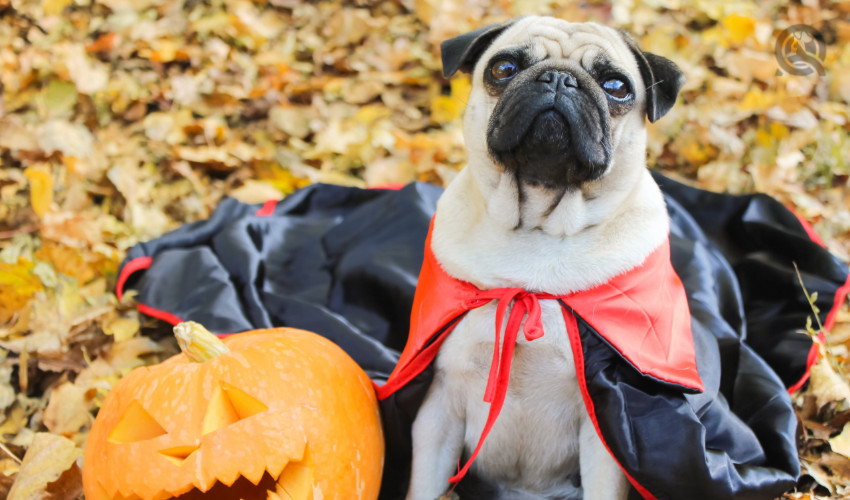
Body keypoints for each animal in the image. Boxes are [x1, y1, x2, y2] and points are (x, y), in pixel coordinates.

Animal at [404, 15, 684, 500]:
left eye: (616, 86)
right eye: (503, 68)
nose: (559, 78)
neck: (538, 226)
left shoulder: (604, 430)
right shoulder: (439, 410)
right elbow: (424, 484)